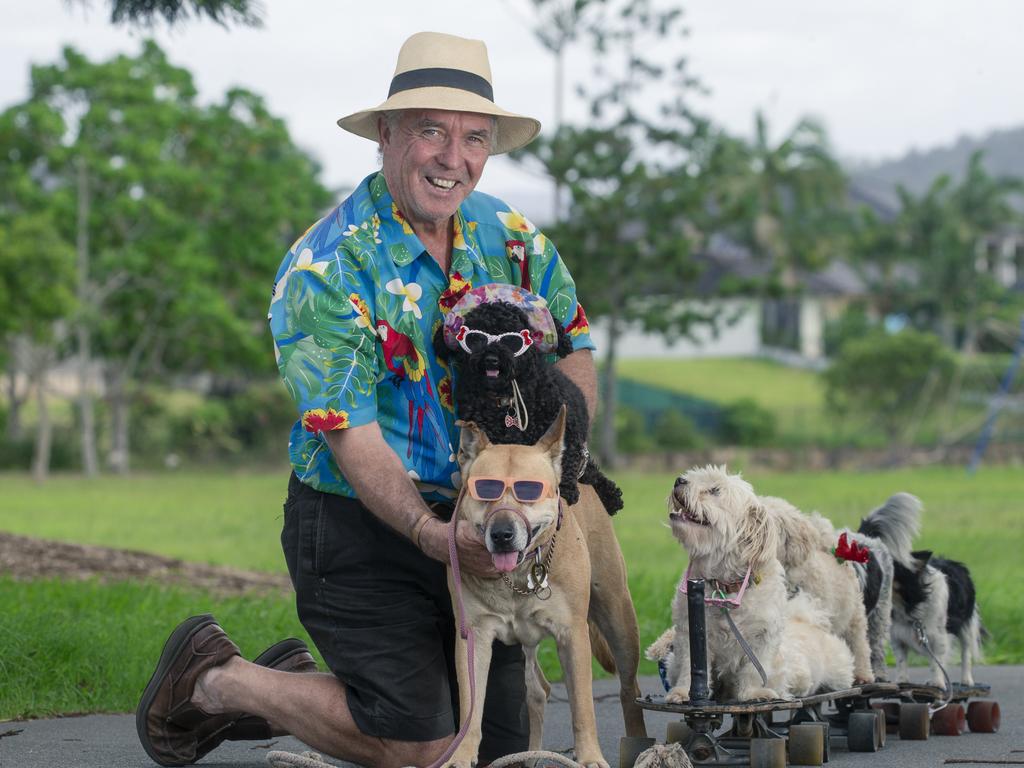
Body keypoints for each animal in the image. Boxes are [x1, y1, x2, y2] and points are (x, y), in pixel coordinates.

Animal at [450, 409, 647, 768]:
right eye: (485, 490)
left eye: (529, 491)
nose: (502, 534)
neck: (518, 576)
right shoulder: (474, 636)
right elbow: (471, 704)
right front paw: (461, 755)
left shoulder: (573, 635)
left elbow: (582, 707)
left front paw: (589, 757)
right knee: (537, 690)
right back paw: (528, 756)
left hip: (618, 616)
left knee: (629, 689)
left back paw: (638, 745)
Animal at [659, 462, 786, 704]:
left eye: (715, 491)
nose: (679, 480)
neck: (724, 586)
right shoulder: (691, 633)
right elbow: (690, 667)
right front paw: (682, 692)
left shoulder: (763, 637)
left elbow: (753, 670)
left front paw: (753, 693)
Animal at [860, 495, 987, 688]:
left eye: (890, 567)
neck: (907, 605)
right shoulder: (898, 637)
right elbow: (901, 660)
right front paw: (902, 680)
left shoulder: (939, 637)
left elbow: (937, 662)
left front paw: (938, 683)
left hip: (966, 626)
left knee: (966, 653)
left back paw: (966, 680)